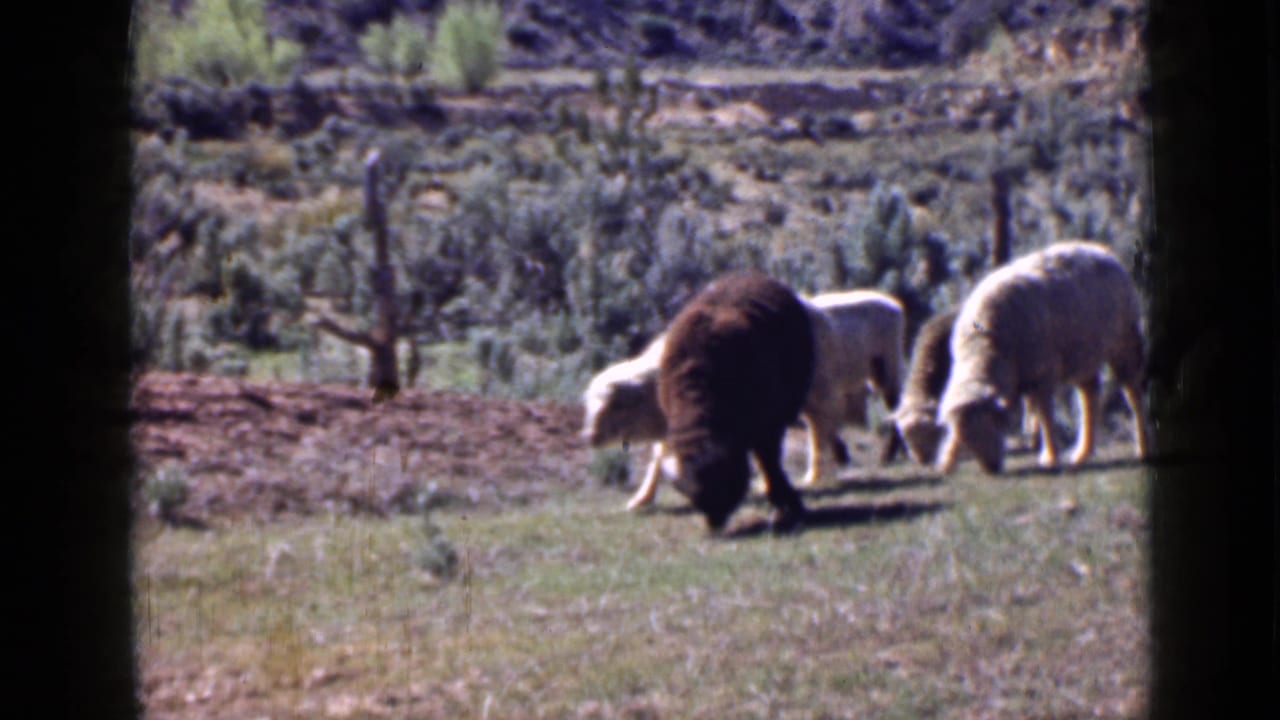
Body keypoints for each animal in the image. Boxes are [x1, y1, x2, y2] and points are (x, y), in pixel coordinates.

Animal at [581, 289, 907, 511]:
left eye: (614, 405)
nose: (588, 437)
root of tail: (891, 303)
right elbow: (659, 458)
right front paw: (641, 499)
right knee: (828, 426)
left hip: (879, 371)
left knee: (848, 422)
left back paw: (826, 471)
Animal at [657, 272, 814, 532]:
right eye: (692, 496)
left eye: (724, 482)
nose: (713, 521)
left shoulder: (769, 427)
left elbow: (770, 463)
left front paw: (787, 505)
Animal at [935, 241, 1151, 474]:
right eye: (965, 439)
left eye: (988, 426)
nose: (992, 468)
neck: (985, 346)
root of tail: (1100, 250)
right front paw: (947, 460)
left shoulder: (1043, 373)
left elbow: (1045, 415)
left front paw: (1050, 456)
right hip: (1083, 355)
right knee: (1089, 396)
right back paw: (1082, 453)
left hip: (1124, 342)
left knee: (1133, 394)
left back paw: (1143, 447)